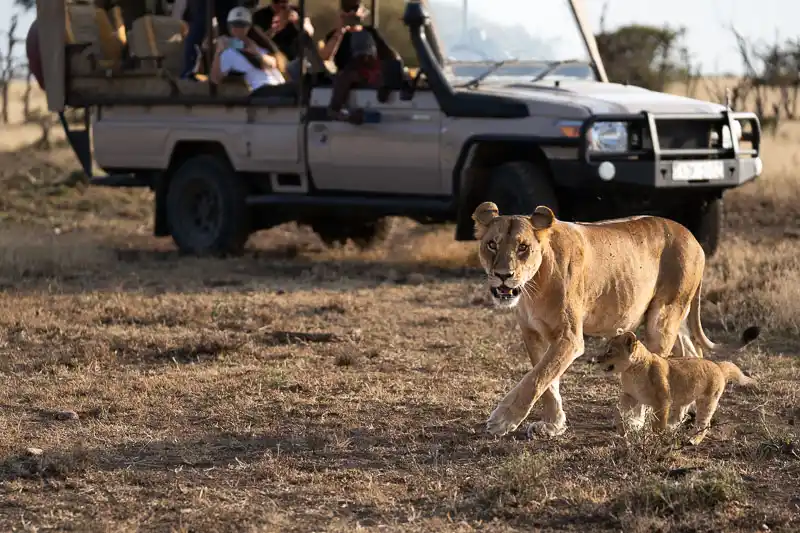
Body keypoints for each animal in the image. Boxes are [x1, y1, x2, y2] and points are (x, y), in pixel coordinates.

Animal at [593, 330, 755, 445]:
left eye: (610, 351)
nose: (596, 360)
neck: (631, 372)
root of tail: (718, 366)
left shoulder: (662, 401)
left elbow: (658, 424)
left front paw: (655, 440)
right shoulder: (630, 395)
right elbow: (617, 410)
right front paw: (621, 430)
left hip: (707, 400)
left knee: (704, 423)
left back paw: (692, 440)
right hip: (683, 398)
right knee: (680, 416)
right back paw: (672, 429)